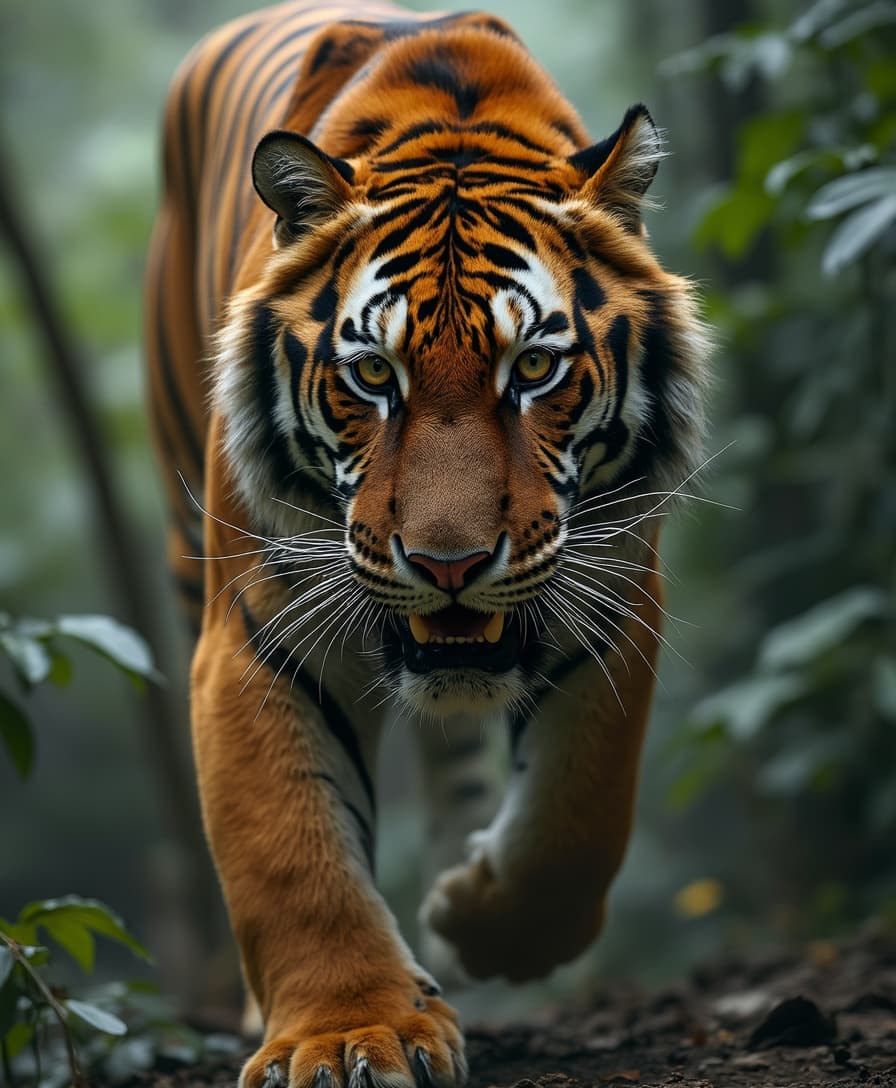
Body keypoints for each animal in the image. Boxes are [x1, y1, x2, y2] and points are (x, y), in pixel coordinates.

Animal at [145, 2, 709, 1086]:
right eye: (372, 375)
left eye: (533, 369)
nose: (448, 565)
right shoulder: (255, 633)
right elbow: (289, 848)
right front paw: (344, 1034)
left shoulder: (614, 594)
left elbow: (578, 816)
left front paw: (474, 920)